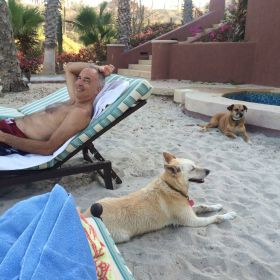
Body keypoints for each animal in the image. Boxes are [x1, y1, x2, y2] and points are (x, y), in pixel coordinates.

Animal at [85, 152, 236, 242]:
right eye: (193, 168)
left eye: (195, 165)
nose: (209, 170)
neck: (172, 187)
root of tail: (86, 217)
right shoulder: (192, 221)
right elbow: (216, 217)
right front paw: (229, 215)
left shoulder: (189, 208)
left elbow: (203, 206)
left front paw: (217, 205)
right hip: (121, 236)